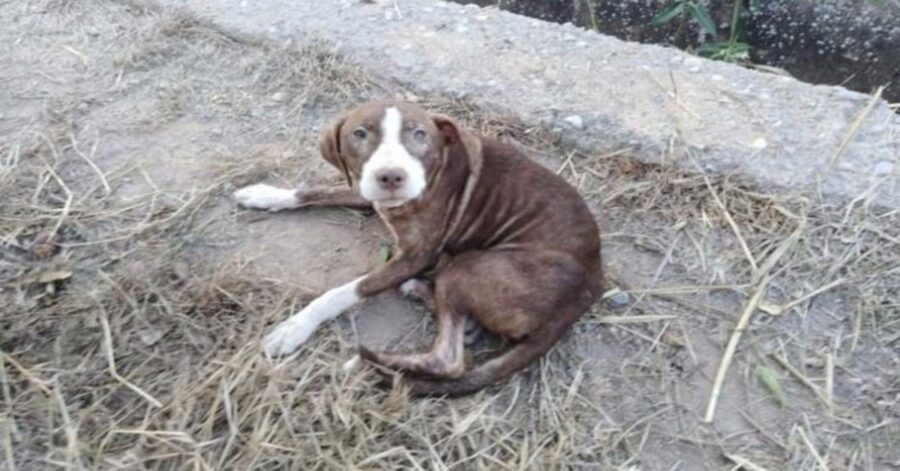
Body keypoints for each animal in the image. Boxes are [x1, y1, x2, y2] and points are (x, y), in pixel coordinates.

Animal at [234, 101, 604, 396]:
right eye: (360, 134)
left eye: (419, 134)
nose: (391, 177)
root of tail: (586, 291)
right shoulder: (365, 190)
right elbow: (315, 191)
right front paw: (268, 194)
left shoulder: (416, 255)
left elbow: (344, 291)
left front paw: (295, 327)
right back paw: (430, 300)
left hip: (468, 266)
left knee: (449, 361)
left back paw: (369, 364)